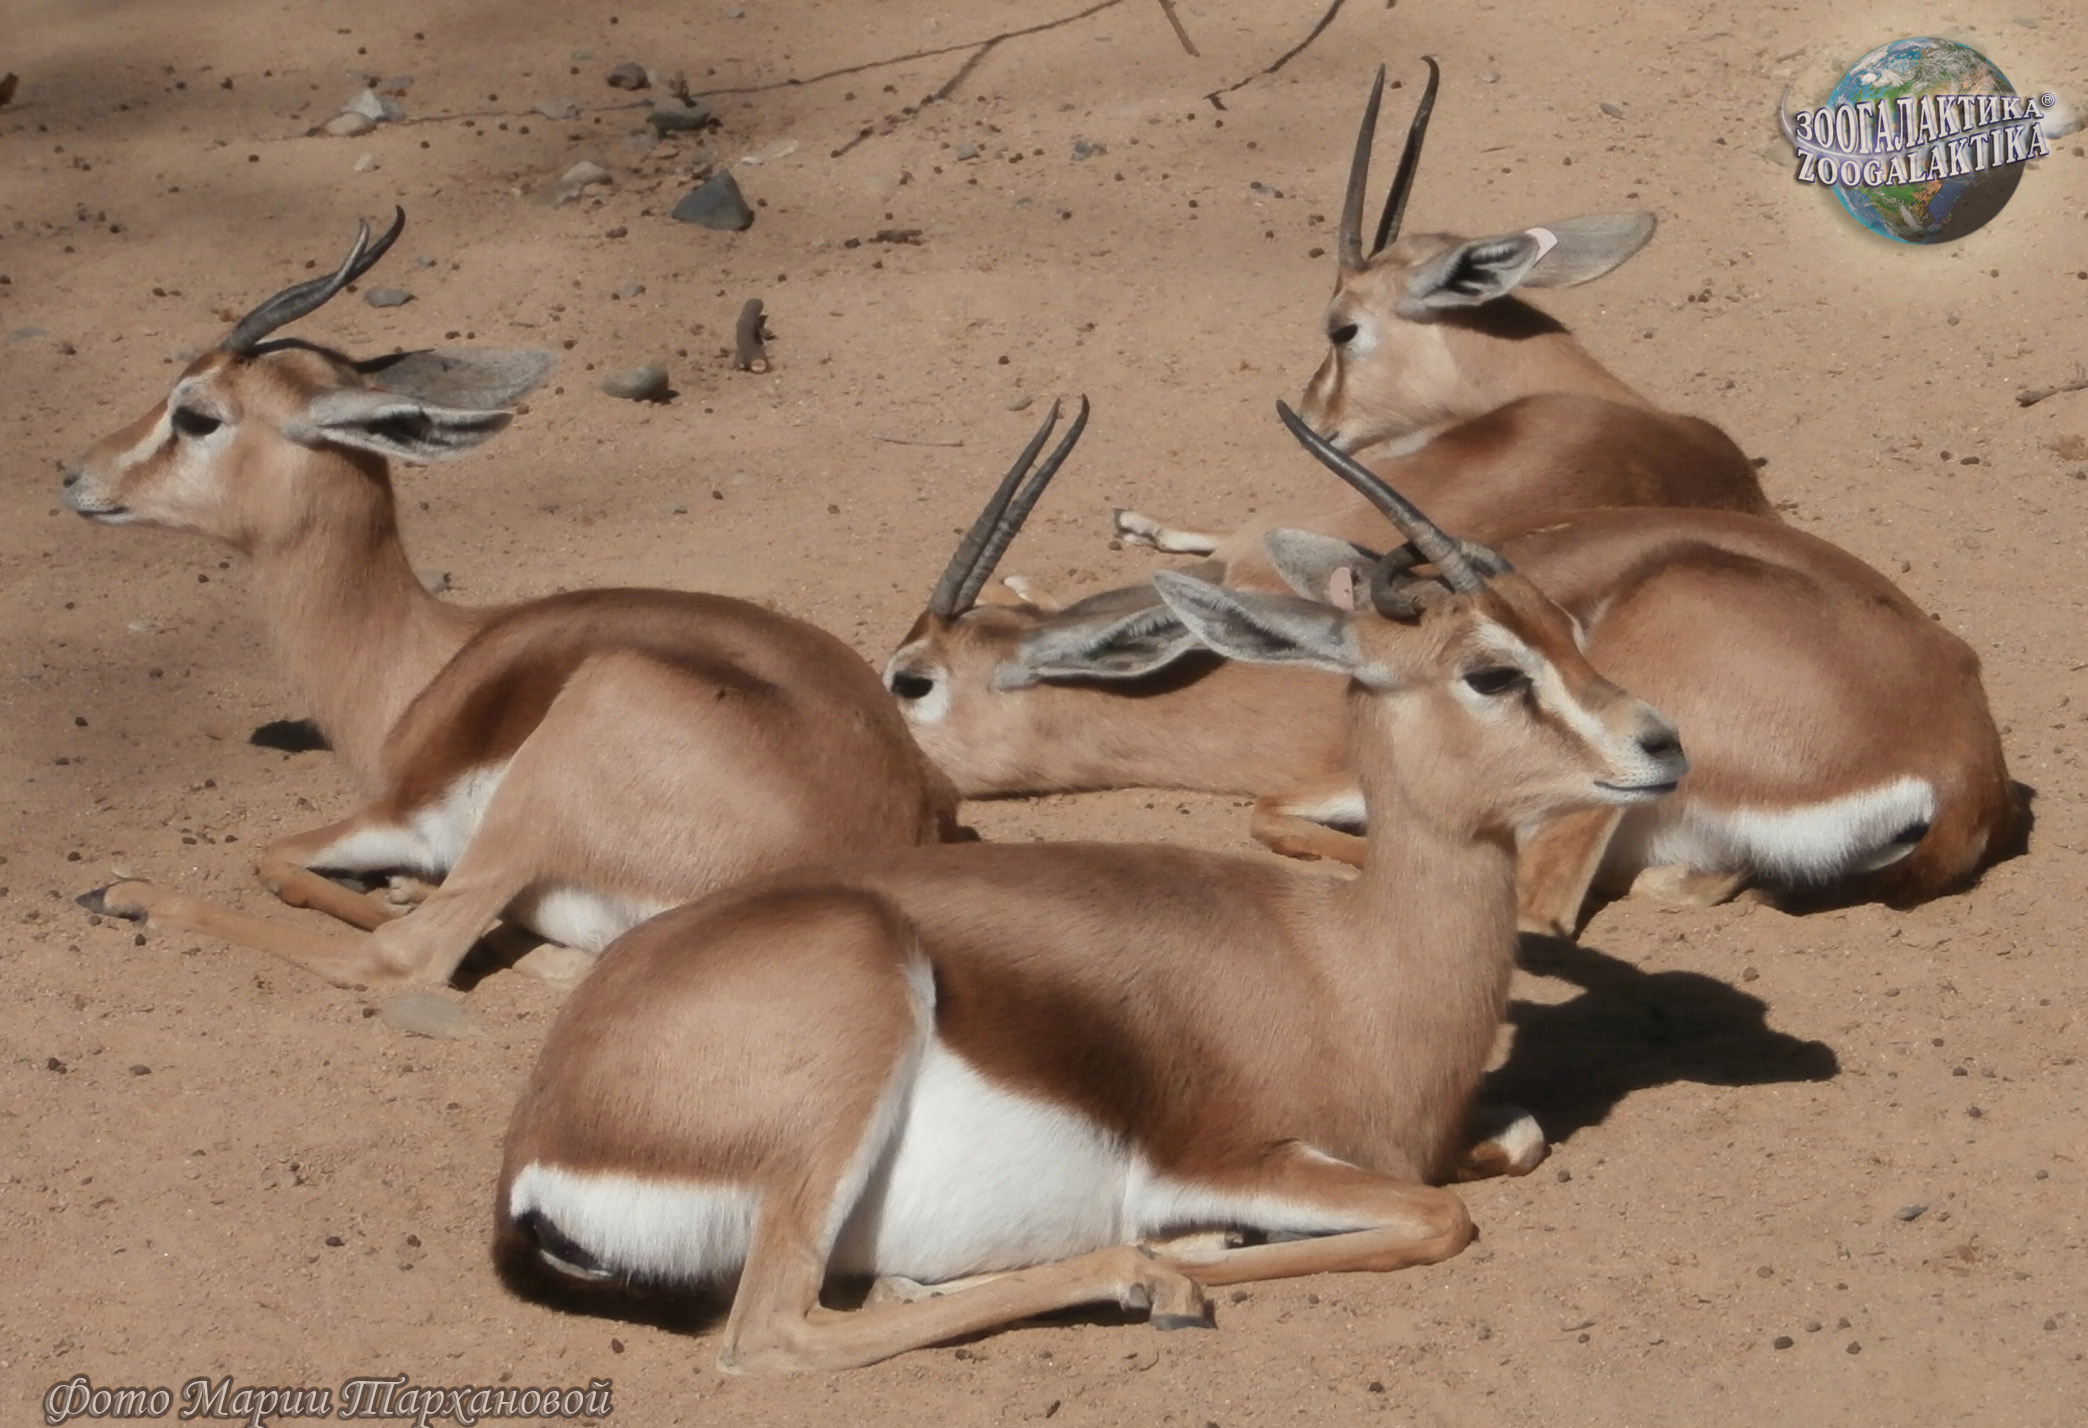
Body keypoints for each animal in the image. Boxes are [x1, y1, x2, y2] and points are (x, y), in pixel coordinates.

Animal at [63, 210, 958, 990]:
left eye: (197, 415)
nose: (75, 474)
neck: (422, 668)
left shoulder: (404, 813)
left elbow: (274, 856)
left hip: (560, 760)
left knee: (408, 956)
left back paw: (136, 896)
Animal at [493, 406, 1690, 1373]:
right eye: (1491, 671)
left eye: (1568, 629)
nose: (1663, 745)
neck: (1350, 965)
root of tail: (540, 1142)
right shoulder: (1229, 1158)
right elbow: (1436, 1220)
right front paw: (1188, 1251)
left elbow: (1515, 1142)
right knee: (774, 1335)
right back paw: (1139, 1279)